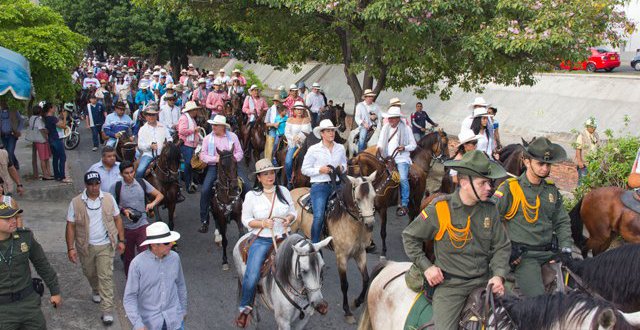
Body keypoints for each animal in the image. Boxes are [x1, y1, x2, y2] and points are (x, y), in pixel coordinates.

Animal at [292, 169, 380, 324]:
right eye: (358, 199)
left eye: (374, 196)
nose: (370, 224)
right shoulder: (341, 257)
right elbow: (344, 284)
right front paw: (347, 311)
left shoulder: (360, 253)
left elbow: (366, 279)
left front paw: (357, 302)